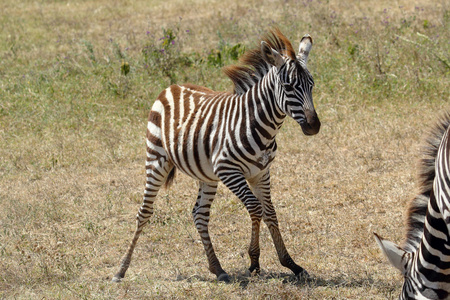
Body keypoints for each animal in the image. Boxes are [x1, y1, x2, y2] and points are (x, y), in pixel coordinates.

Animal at [114, 27, 322, 282]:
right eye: (288, 86)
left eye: (312, 84)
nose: (314, 126)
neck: (259, 125)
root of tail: (171, 87)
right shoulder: (229, 171)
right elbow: (256, 209)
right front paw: (254, 262)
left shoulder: (261, 172)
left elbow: (270, 213)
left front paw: (291, 264)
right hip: (155, 159)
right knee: (144, 212)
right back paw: (121, 269)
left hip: (206, 175)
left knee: (199, 215)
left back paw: (217, 268)